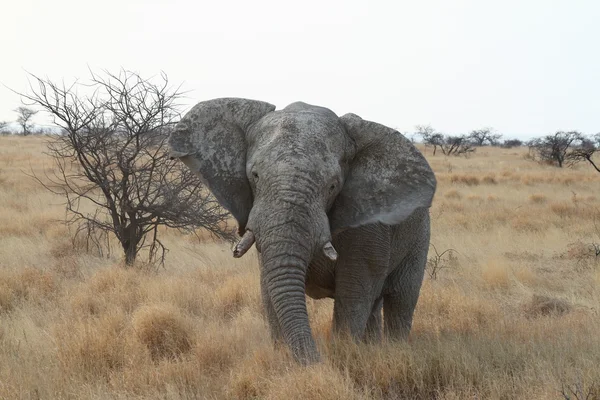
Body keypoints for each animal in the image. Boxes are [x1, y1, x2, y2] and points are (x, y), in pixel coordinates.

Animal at [169, 97, 436, 366]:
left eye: (333, 186)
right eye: (255, 175)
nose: (317, 360)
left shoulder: (368, 223)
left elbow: (355, 291)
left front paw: (342, 352)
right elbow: (270, 287)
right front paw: (284, 357)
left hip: (419, 236)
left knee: (400, 300)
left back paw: (394, 350)